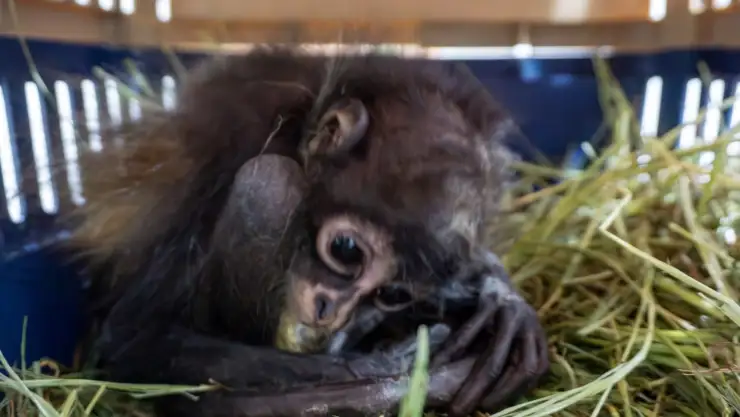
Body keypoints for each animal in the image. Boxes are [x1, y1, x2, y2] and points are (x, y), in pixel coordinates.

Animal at [67, 46, 550, 417]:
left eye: (392, 294)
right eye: (346, 249)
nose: (329, 311)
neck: (302, 119)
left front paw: (502, 297)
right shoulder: (225, 152)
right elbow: (134, 339)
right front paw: (386, 370)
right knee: (270, 180)